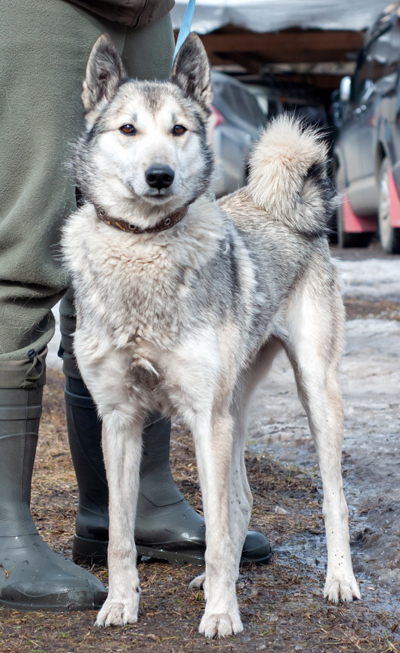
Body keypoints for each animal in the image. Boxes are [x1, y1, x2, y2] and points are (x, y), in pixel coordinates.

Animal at [62, 32, 360, 638]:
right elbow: (121, 535)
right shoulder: (120, 420)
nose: (160, 176)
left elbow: (218, 534)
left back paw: (338, 580)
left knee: (332, 500)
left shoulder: (205, 418)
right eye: (128, 129)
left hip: (311, 394)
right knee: (240, 501)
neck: (143, 248)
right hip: (235, 411)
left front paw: (222, 613)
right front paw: (120, 604)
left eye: (179, 130)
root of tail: (275, 204)